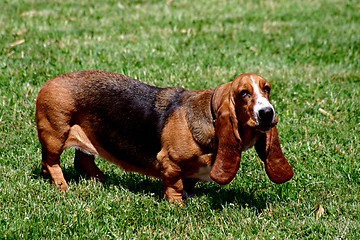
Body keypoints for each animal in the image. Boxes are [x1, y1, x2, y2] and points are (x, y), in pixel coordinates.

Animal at [35, 70, 294, 202]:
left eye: (267, 88)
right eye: (243, 93)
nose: (267, 113)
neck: (207, 113)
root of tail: (49, 82)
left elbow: (190, 183)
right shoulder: (170, 162)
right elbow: (175, 184)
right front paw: (178, 204)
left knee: (83, 159)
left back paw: (100, 179)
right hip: (55, 135)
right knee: (51, 163)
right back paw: (62, 186)